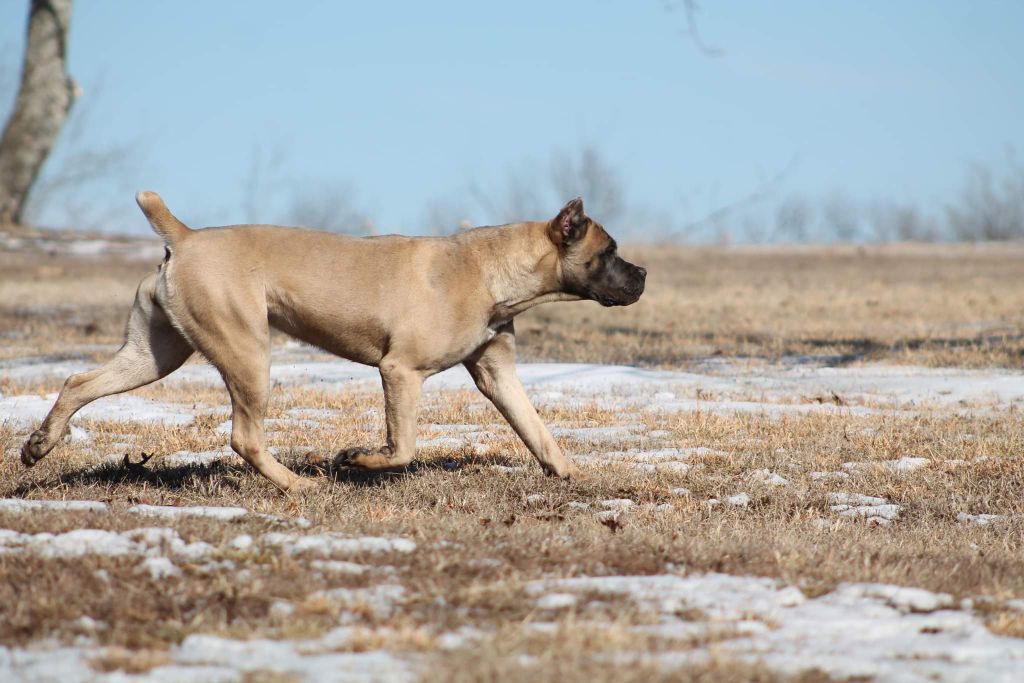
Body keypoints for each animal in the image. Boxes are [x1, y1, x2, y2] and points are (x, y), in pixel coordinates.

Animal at [19, 192, 647, 491]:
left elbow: (538, 431)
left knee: (78, 381)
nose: (642, 275)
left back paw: (39, 445)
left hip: (156, 353)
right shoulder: (400, 372)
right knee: (245, 436)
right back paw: (297, 484)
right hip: (247, 353)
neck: (493, 271)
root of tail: (185, 237)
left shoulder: (498, 374)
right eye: (610, 251)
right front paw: (355, 459)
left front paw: (569, 475)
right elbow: (402, 447)